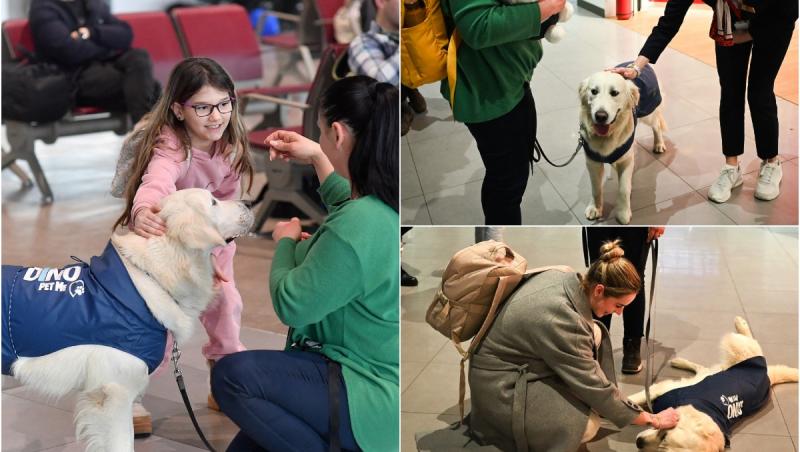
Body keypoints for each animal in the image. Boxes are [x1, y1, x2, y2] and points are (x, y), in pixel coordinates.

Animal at [576, 62, 668, 225]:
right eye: (594, 91)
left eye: (614, 93)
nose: (600, 116)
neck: (607, 136)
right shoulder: (593, 162)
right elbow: (595, 188)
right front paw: (595, 208)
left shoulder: (626, 161)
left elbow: (624, 189)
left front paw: (623, 212)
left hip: (648, 114)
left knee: (656, 124)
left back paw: (658, 144)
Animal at [628, 316, 796, 450]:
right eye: (664, 435)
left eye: (662, 448)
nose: (638, 442)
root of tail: (767, 375)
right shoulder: (663, 389)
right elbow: (633, 399)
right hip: (738, 348)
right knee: (749, 341)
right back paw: (740, 322)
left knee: (702, 368)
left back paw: (679, 361)